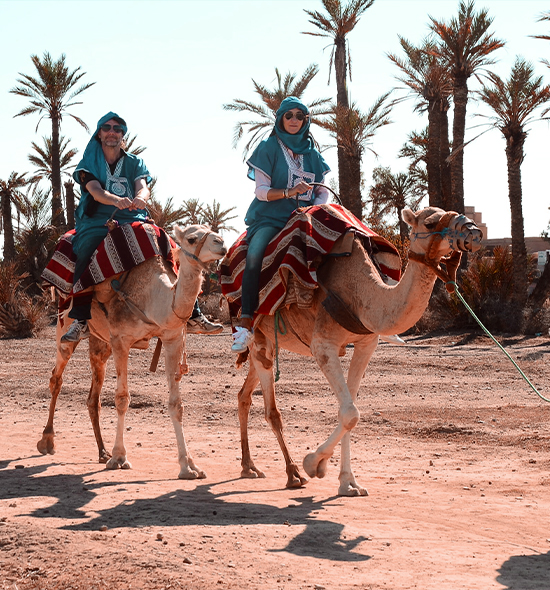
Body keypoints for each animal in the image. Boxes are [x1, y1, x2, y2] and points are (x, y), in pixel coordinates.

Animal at [37, 225, 226, 480]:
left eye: (212, 230)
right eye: (191, 238)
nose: (221, 243)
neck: (152, 298)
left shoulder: (172, 338)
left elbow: (176, 404)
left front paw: (189, 467)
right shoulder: (121, 341)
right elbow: (122, 399)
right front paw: (119, 458)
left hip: (101, 343)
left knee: (93, 396)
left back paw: (102, 452)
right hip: (64, 324)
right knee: (56, 377)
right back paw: (48, 441)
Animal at [236, 206, 484, 498]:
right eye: (431, 222)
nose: (474, 232)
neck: (360, 292)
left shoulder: (366, 344)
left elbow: (350, 409)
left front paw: (348, 483)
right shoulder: (323, 344)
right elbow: (350, 413)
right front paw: (314, 464)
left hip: (266, 345)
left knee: (244, 395)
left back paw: (249, 467)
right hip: (259, 337)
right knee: (271, 410)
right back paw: (293, 473)